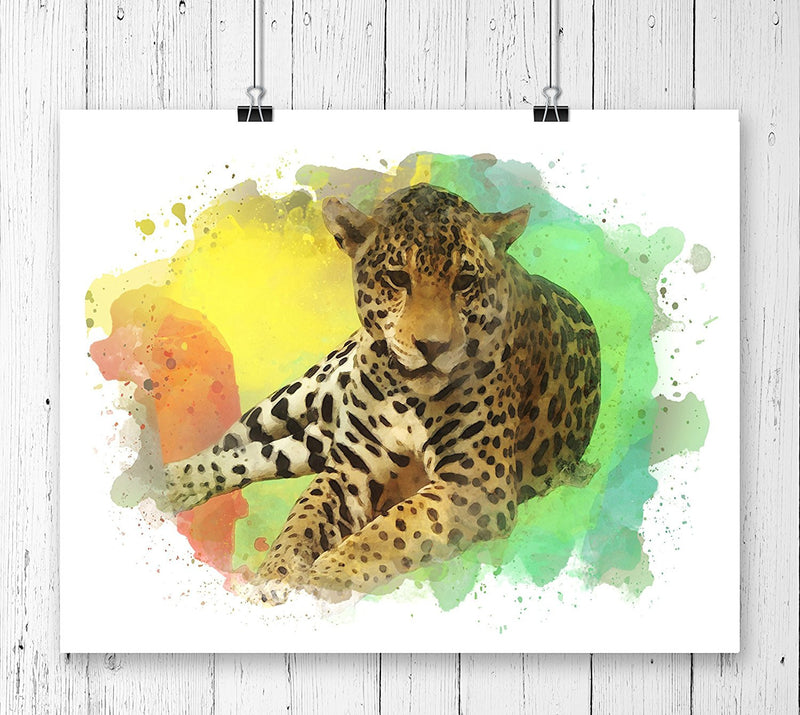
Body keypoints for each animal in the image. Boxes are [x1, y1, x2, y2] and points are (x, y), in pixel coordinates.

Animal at [161, 183, 601, 605]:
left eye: (464, 281)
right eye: (397, 278)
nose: (433, 346)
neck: (407, 393)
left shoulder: (475, 482)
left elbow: (389, 530)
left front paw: (320, 578)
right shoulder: (349, 469)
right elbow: (302, 522)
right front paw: (275, 575)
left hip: (317, 440)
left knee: (262, 455)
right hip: (301, 398)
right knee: (234, 442)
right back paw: (169, 479)